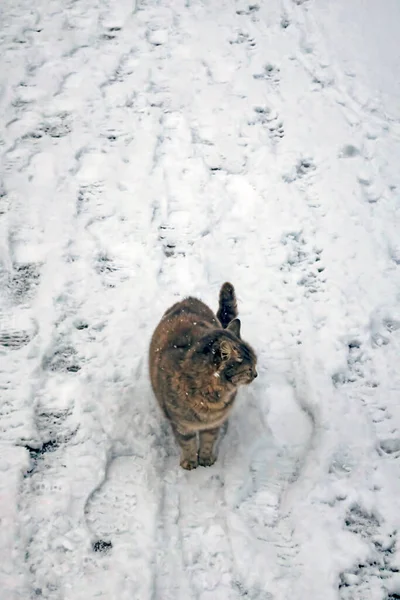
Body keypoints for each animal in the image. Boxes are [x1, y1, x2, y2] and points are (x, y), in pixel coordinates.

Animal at [148, 282, 258, 468]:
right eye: (249, 369)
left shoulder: (213, 423)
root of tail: (189, 298)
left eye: (255, 364)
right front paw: (190, 462)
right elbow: (188, 444)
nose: (256, 374)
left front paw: (206, 459)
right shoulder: (181, 425)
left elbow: (208, 441)